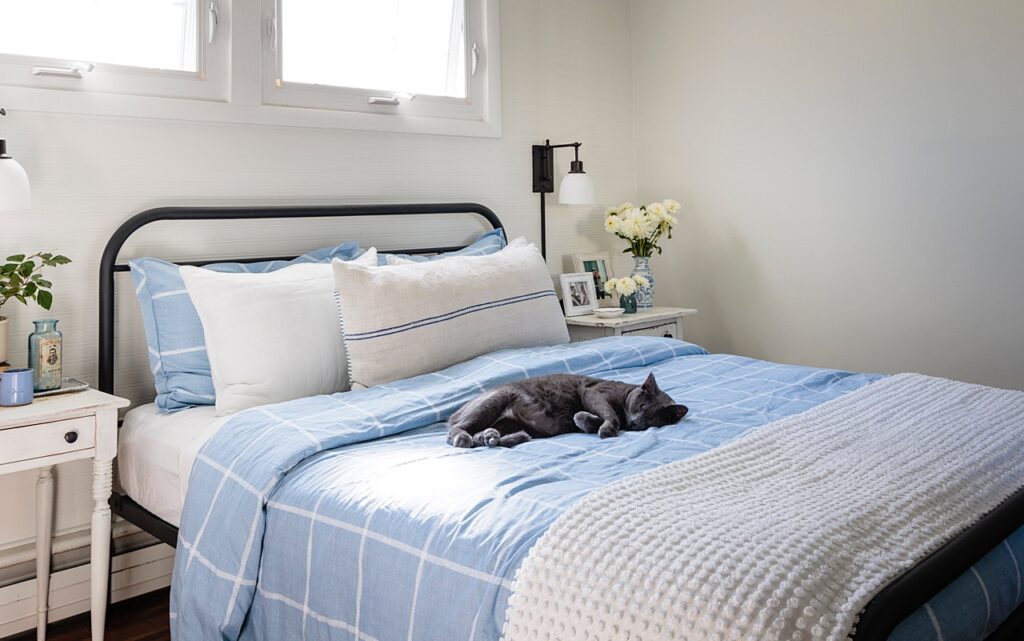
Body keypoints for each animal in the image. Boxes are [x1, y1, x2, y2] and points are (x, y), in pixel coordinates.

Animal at [446, 372, 688, 446]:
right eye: (641, 405)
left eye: (653, 418)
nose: (636, 422)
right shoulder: (593, 392)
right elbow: (609, 414)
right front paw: (607, 428)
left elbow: (581, 416)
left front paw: (590, 423)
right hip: (494, 400)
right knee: (455, 431)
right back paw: (464, 438)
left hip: (511, 422)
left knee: (480, 434)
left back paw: (490, 437)